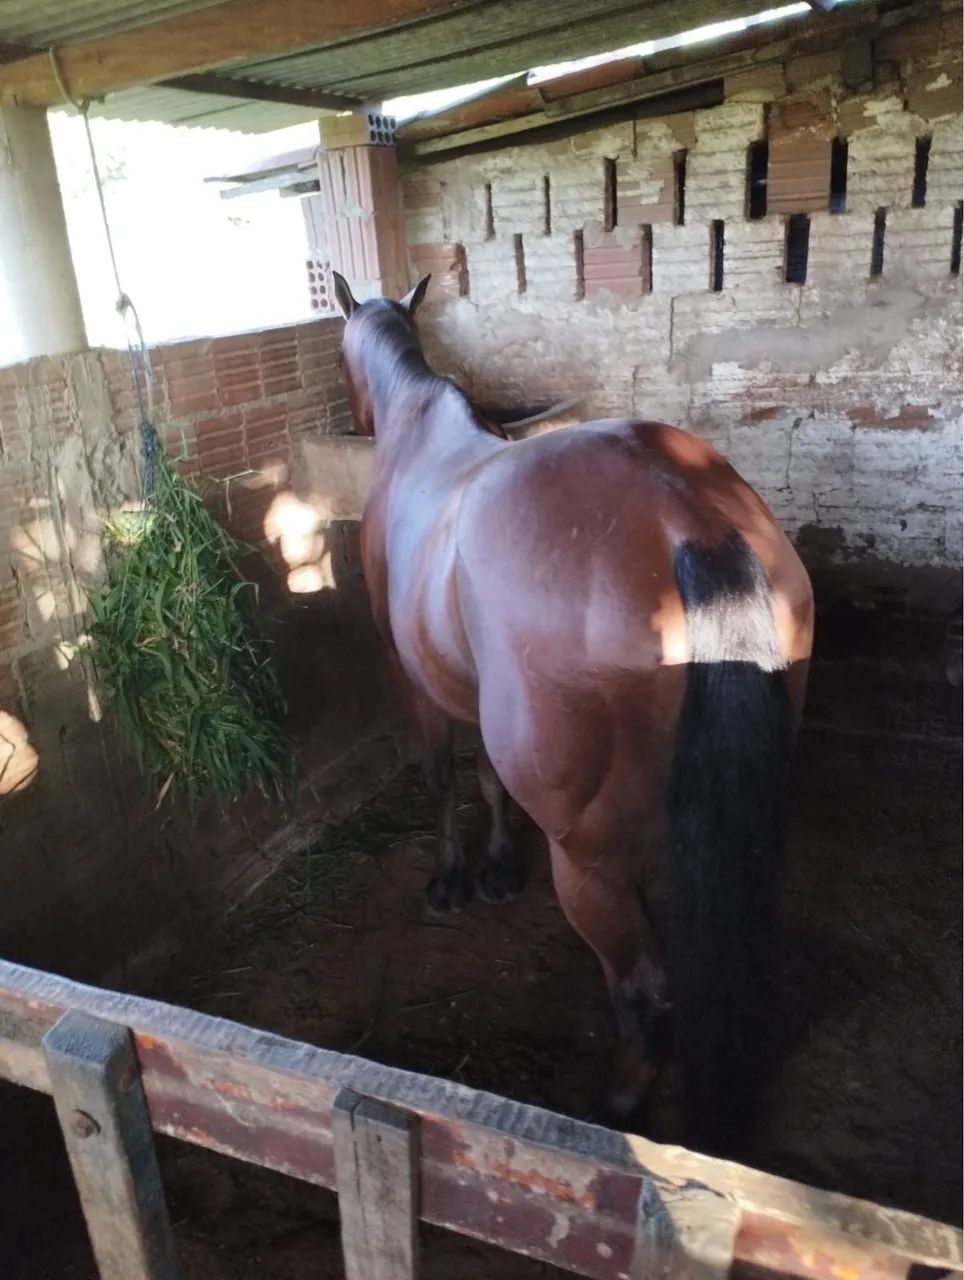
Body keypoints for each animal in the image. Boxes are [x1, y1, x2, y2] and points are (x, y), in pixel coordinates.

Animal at [332, 271, 814, 1153]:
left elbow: (440, 780)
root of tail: (687, 518)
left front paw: (451, 879)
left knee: (643, 985)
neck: (420, 431)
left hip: (585, 861)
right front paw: (495, 868)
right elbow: (487, 782)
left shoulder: (413, 682)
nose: (351, 417)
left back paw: (618, 1108)